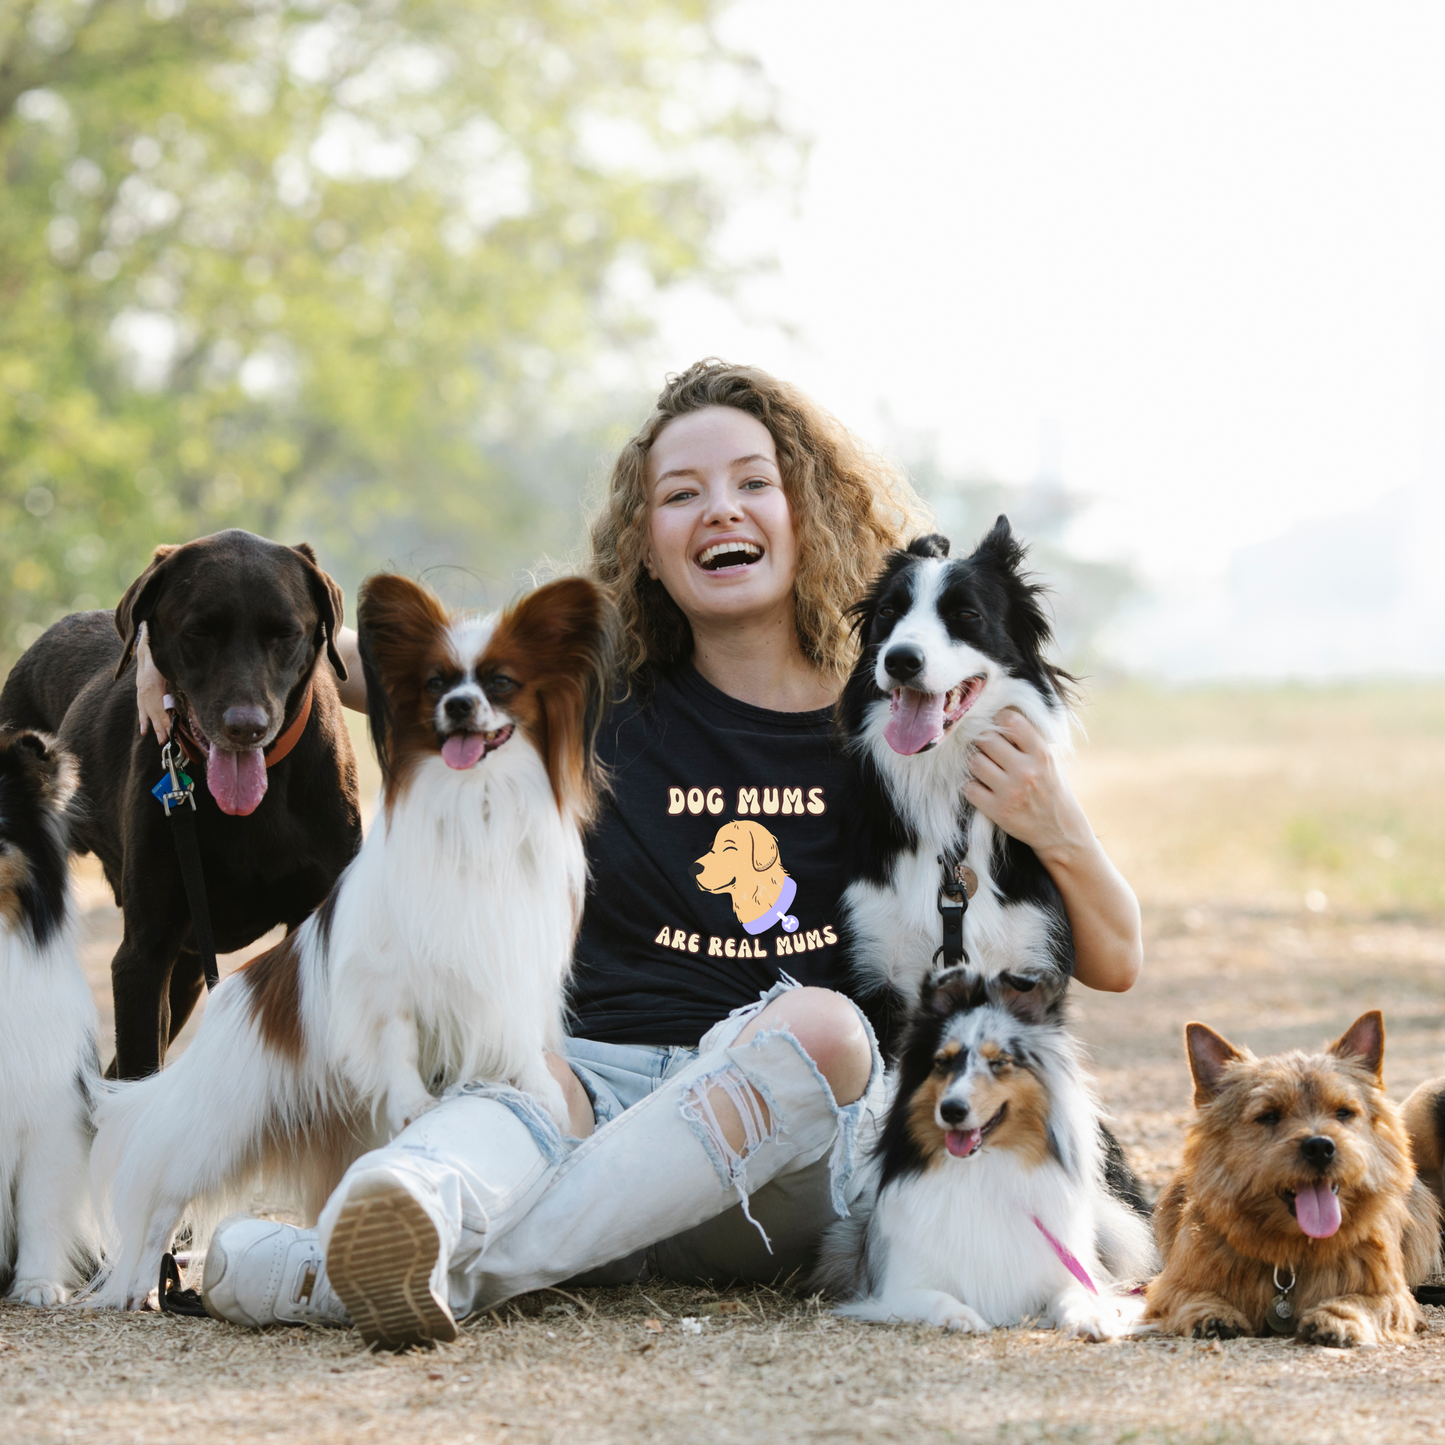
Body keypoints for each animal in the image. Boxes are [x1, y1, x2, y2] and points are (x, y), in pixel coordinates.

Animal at [90, 572, 609, 1312]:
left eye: (502, 682)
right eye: (434, 683)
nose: (458, 706)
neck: (474, 806)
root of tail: (234, 994)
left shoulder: (509, 965)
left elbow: (517, 1040)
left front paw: (538, 1091)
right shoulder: (385, 981)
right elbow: (397, 1040)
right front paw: (416, 1102)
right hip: (219, 1126)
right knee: (161, 1189)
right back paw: (139, 1285)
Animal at [820, 965, 1156, 1335]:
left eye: (999, 1062)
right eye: (943, 1062)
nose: (952, 1110)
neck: (981, 1169)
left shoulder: (1061, 1272)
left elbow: (1074, 1295)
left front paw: (1091, 1318)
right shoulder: (898, 1289)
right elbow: (937, 1298)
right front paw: (963, 1317)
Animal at [1144, 1011, 1439, 1346]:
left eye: (1343, 1112)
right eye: (1270, 1115)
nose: (1320, 1146)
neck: (1293, 1252)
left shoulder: (1391, 1294)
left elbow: (1368, 1302)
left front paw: (1338, 1317)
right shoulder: (1173, 1285)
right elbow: (1188, 1294)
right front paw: (1212, 1312)